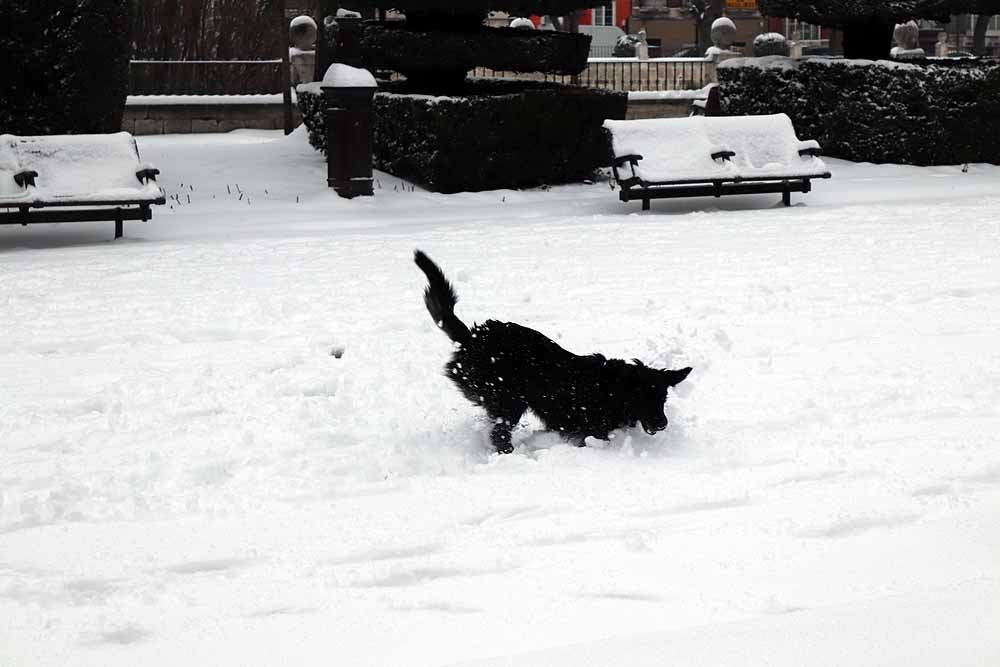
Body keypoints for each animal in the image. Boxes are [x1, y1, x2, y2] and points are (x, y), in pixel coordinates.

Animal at [412, 250, 688, 454]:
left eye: (663, 398)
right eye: (643, 396)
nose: (663, 424)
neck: (613, 389)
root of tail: (472, 336)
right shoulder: (588, 428)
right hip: (508, 400)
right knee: (499, 433)